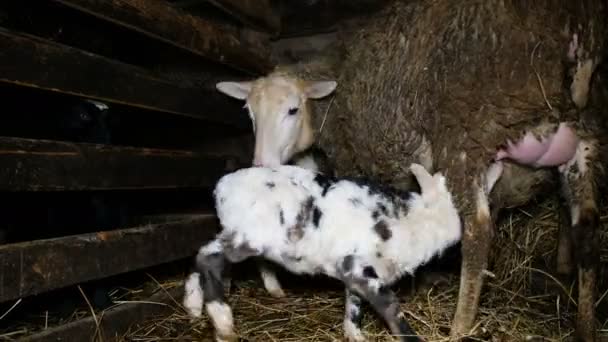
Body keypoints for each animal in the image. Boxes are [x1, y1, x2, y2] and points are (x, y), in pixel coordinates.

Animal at [184, 163, 460, 342]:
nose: (459, 235)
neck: (411, 222)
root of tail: (222, 188)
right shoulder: (360, 267)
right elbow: (391, 307)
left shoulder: (355, 273)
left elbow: (354, 305)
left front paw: (355, 335)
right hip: (249, 238)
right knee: (207, 258)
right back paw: (223, 323)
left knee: (203, 258)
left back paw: (193, 307)